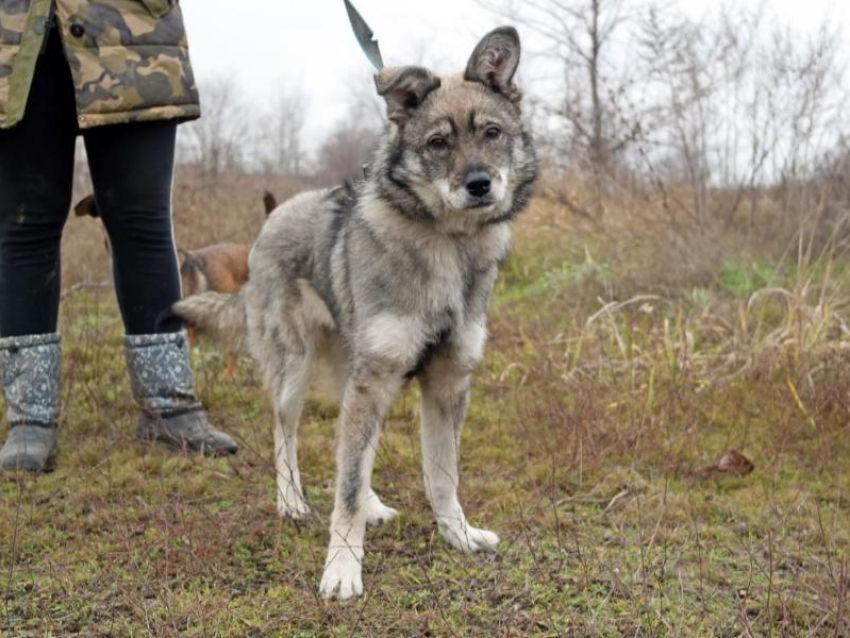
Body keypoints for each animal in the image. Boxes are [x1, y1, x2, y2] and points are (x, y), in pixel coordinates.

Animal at [175, 27, 536, 604]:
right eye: (439, 143)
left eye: (493, 133)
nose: (480, 184)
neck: (448, 244)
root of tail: (271, 220)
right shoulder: (377, 380)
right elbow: (343, 489)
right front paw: (343, 566)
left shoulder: (447, 384)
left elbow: (442, 476)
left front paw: (458, 535)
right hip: (296, 373)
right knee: (286, 434)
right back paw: (292, 502)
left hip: (354, 374)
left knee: (353, 453)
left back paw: (371, 504)